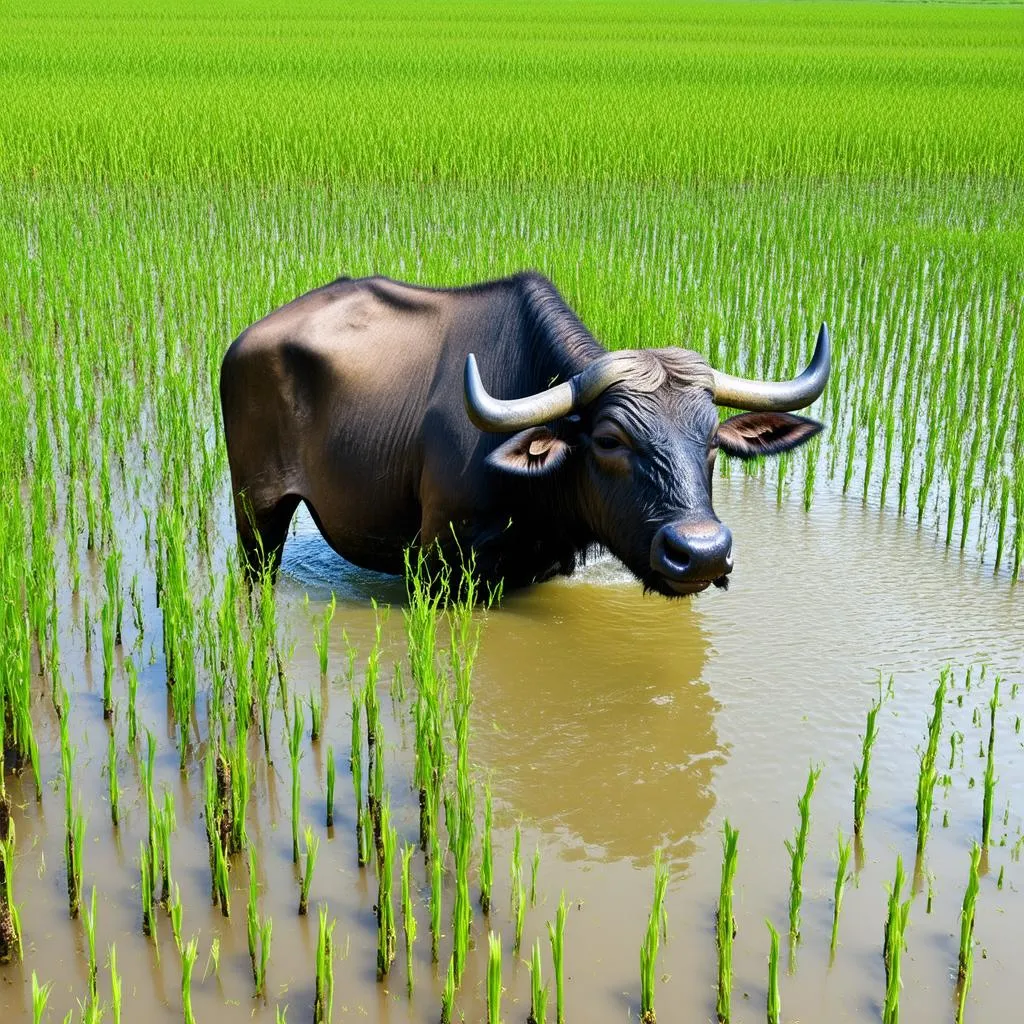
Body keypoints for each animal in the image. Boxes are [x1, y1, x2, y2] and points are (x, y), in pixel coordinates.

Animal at [220, 272, 827, 598]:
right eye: (609, 440)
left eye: (712, 442)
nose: (701, 553)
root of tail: (241, 344)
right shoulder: (440, 565)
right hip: (257, 517)